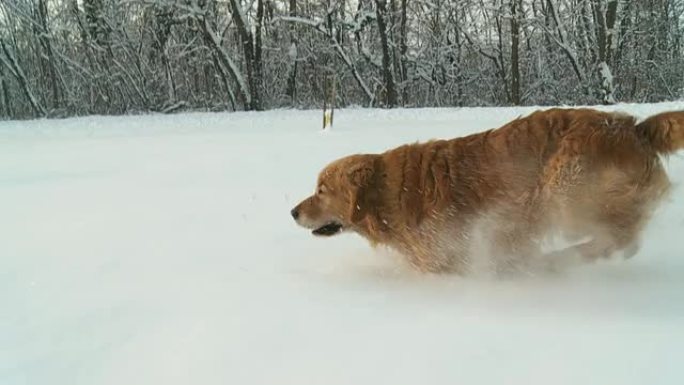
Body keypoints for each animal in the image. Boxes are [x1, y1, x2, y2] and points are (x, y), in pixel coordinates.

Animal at [290, 108, 684, 272]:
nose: (293, 212)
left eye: (321, 190)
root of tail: (636, 126)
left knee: (621, 235)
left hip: (564, 185)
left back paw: (557, 260)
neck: (389, 191)